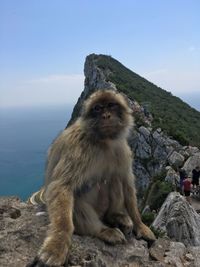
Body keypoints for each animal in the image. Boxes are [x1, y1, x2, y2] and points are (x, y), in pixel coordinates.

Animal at [28, 89, 155, 267]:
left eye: (111, 105)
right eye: (98, 108)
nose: (106, 115)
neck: (103, 141)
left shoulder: (122, 149)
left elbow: (127, 183)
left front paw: (140, 224)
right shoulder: (78, 147)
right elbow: (61, 186)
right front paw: (58, 243)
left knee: (114, 178)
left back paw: (115, 216)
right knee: (76, 197)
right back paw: (102, 231)